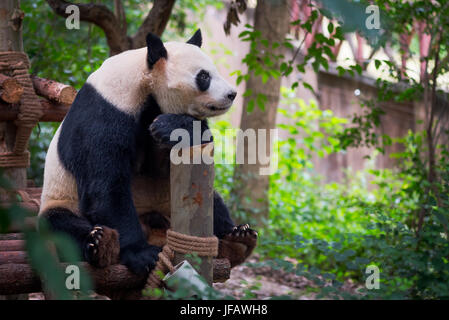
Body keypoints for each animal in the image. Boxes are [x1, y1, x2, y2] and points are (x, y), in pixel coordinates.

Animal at [39, 28, 256, 276]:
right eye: (204, 76)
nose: (232, 94)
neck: (144, 80)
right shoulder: (106, 110)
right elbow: (105, 185)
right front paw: (142, 255)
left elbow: (188, 146)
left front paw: (167, 126)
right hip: (61, 200)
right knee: (62, 225)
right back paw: (100, 243)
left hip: (170, 199)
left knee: (214, 202)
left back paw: (239, 239)